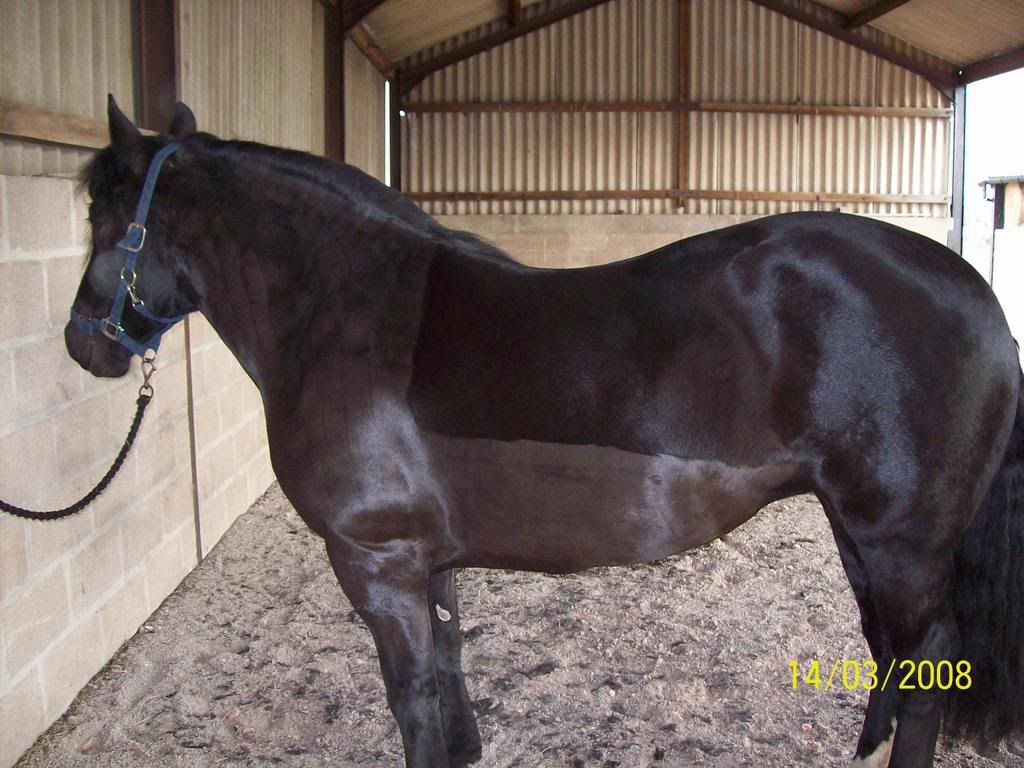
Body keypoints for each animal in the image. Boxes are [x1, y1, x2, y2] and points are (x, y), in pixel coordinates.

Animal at [64, 96, 1023, 768]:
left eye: (105, 218)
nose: (84, 343)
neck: (349, 311)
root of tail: (976, 294)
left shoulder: (374, 559)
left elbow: (413, 698)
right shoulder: (425, 561)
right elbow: (448, 675)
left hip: (900, 541)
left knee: (927, 660)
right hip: (857, 531)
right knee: (890, 652)